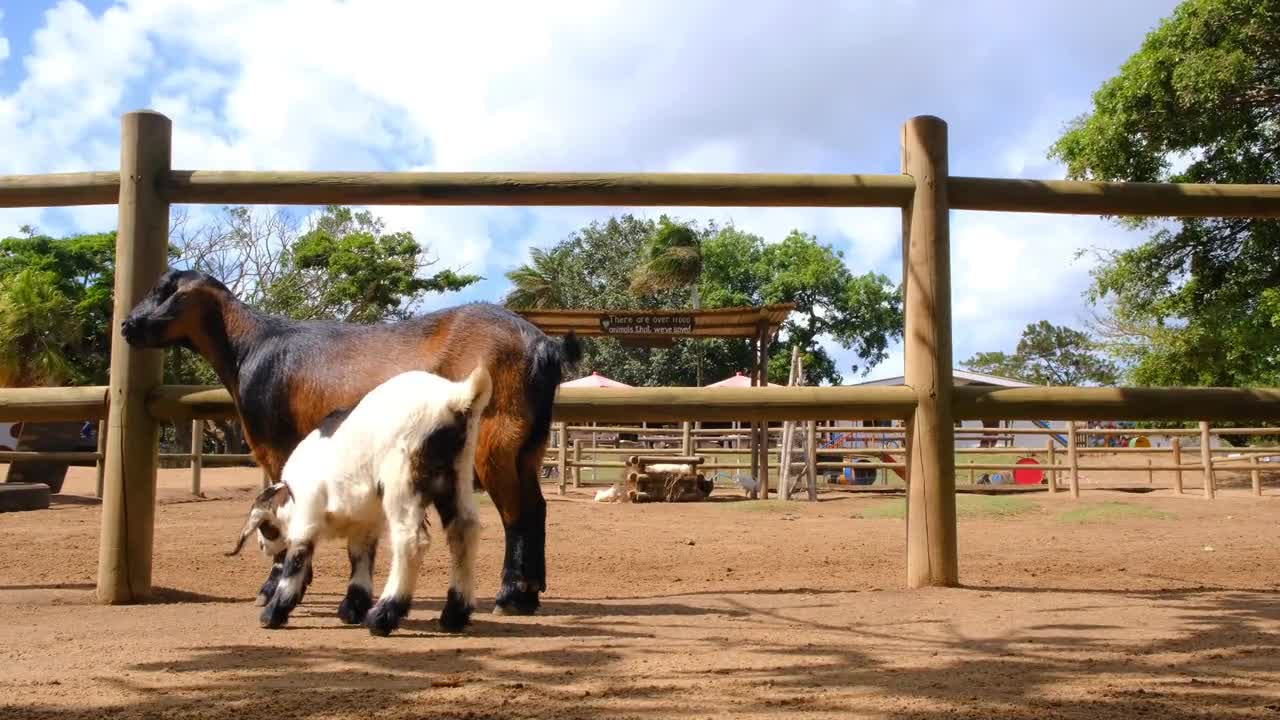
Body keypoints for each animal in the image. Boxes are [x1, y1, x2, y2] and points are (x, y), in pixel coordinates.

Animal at [227, 363, 491, 632]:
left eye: (265, 527)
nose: (262, 547)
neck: (290, 496)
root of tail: (454, 398)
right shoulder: (364, 523)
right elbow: (360, 558)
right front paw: (352, 608)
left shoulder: (307, 517)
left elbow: (296, 560)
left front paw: (273, 612)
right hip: (458, 476)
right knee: (464, 531)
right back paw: (454, 615)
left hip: (403, 480)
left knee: (411, 541)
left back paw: (384, 615)